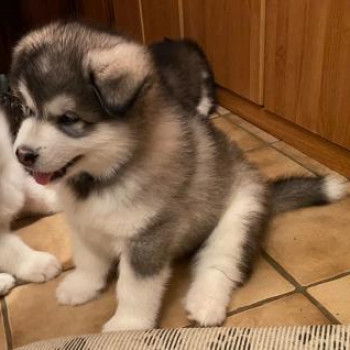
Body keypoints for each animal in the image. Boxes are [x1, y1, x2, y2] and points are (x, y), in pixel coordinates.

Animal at [10, 22, 348, 330]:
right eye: (25, 110)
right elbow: (89, 260)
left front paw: (126, 327)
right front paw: (80, 287)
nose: (22, 154)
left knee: (220, 264)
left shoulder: (148, 238)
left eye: (68, 118)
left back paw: (205, 303)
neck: (106, 173)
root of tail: (265, 187)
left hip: (239, 218)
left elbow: (133, 289)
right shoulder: (84, 225)